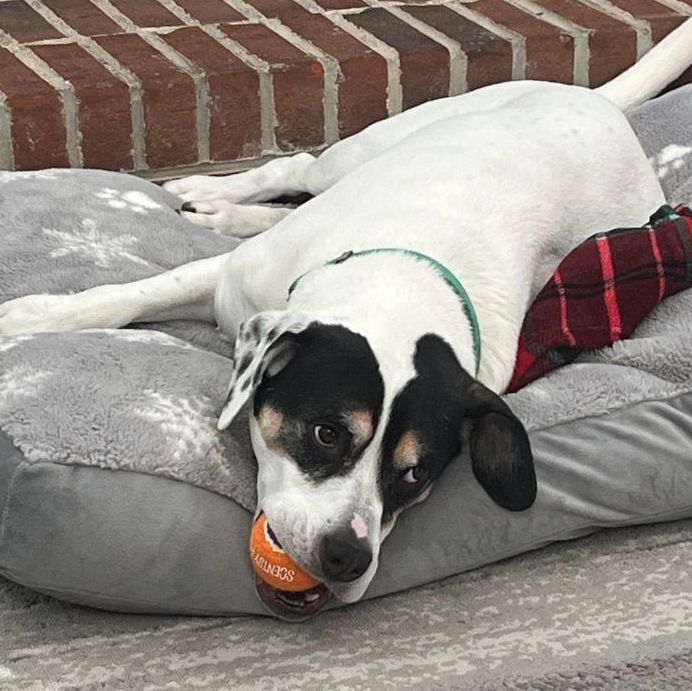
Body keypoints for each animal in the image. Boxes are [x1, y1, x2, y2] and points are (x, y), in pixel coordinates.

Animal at [1, 18, 692, 620]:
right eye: (327, 434)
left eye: (415, 473)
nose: (346, 556)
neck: (399, 283)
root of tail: (595, 103)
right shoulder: (233, 280)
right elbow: (127, 296)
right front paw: (27, 317)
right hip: (380, 140)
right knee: (297, 168)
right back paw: (215, 195)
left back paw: (225, 213)